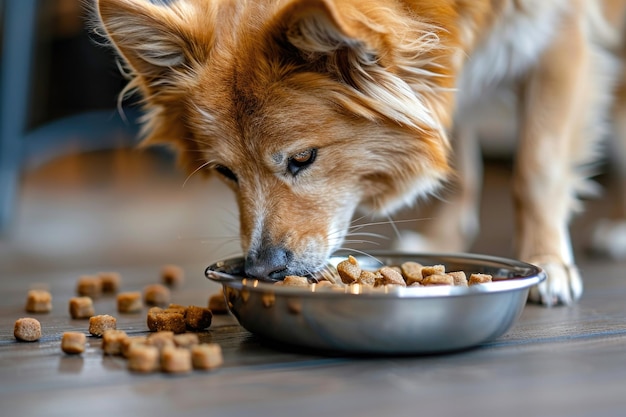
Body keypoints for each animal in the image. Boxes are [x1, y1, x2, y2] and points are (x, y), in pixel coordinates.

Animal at [92, 0, 624, 306]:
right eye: (226, 172)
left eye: (303, 159)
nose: (261, 271)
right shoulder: (446, 74)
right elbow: (456, 165)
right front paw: (443, 239)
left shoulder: (561, 37)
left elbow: (536, 168)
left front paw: (548, 259)